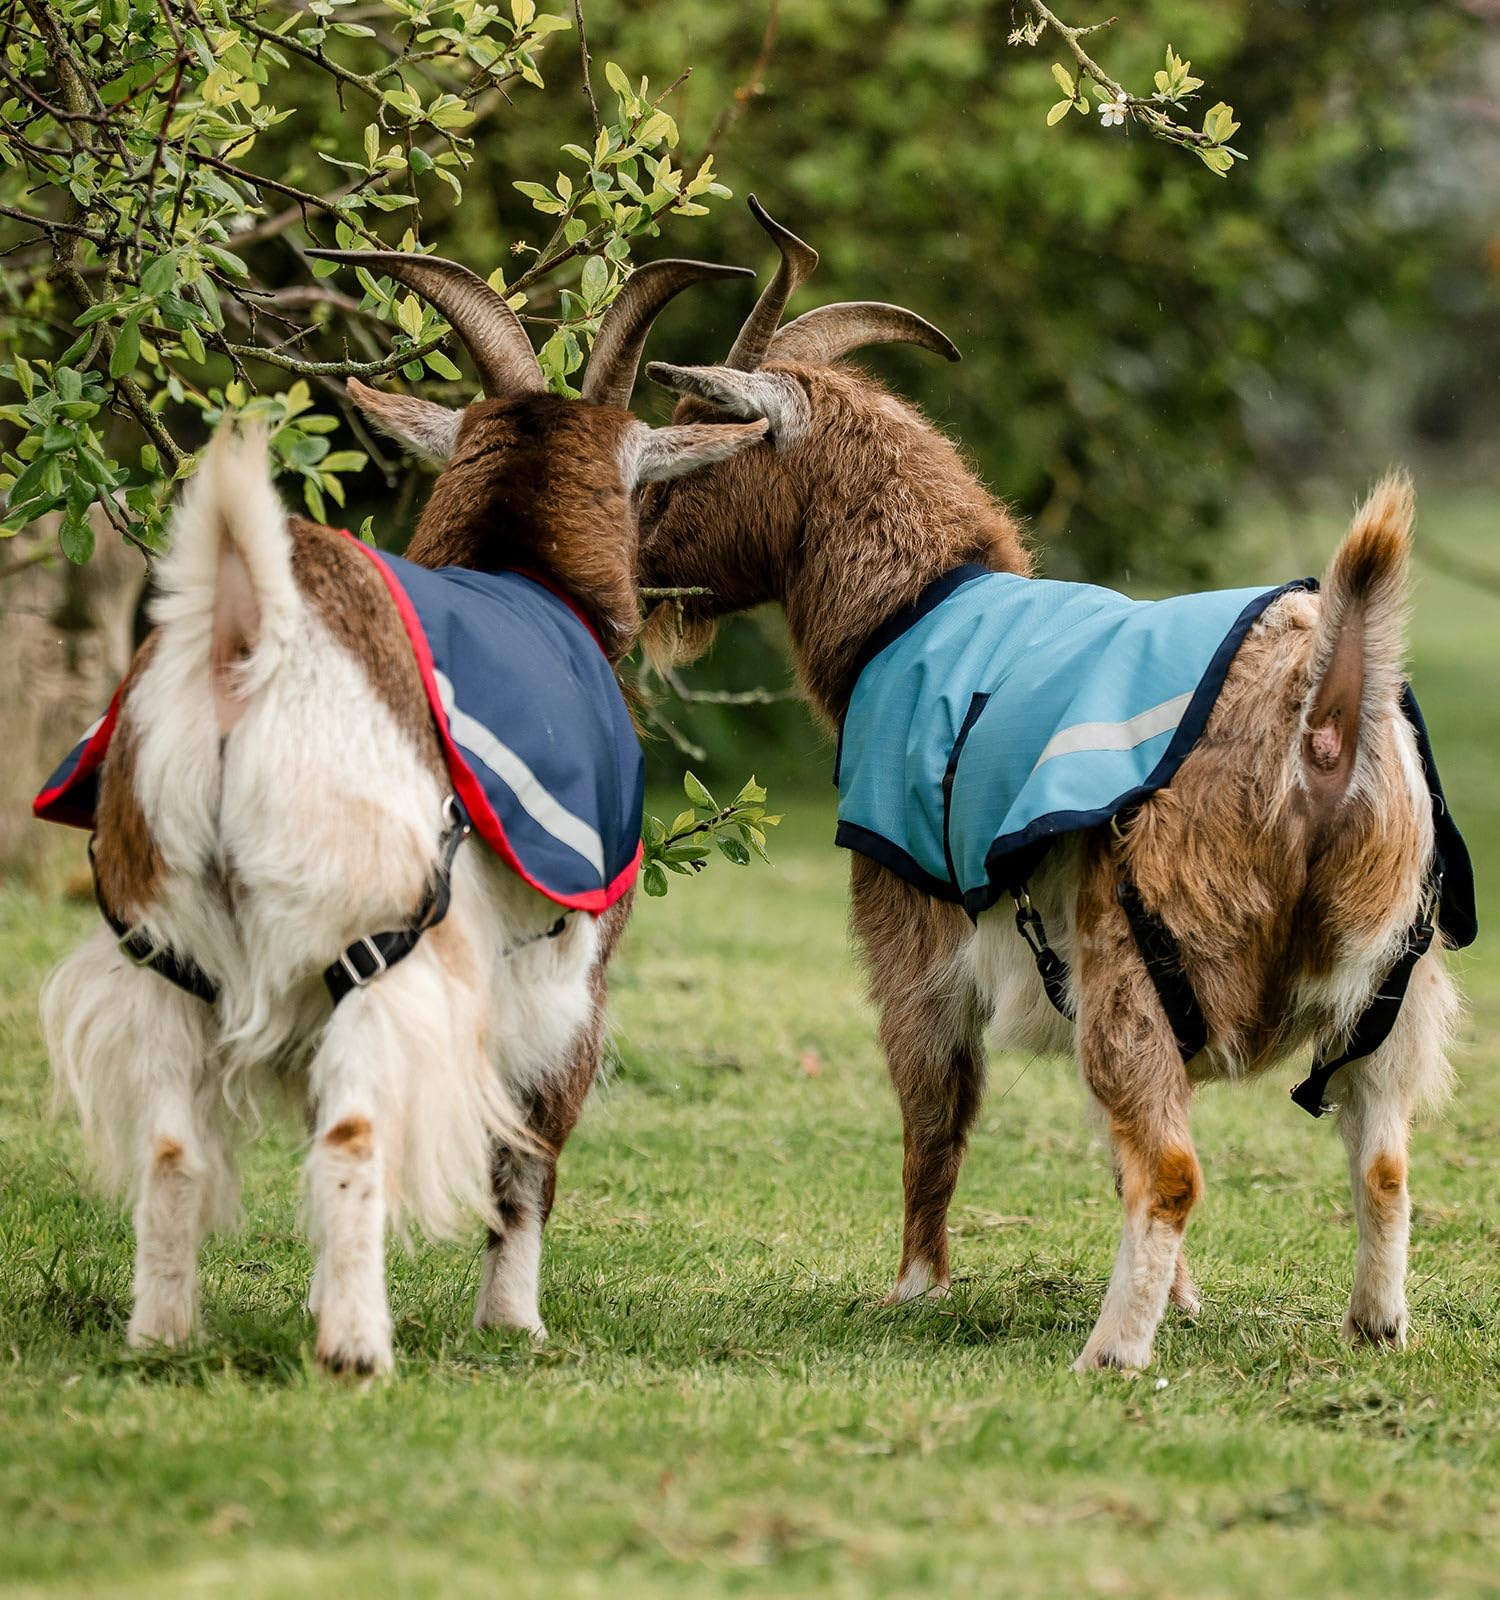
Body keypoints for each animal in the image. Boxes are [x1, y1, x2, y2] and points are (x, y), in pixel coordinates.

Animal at [35, 249, 768, 1375]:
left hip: (163, 940)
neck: (526, 573)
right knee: (355, 1132)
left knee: (171, 1141)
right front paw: (513, 1323)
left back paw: (163, 1338)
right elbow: (527, 1154)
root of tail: (252, 637)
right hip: (378, 938)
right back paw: (356, 1349)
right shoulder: (569, 977)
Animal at [636, 201, 1475, 1371]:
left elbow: (935, 1114)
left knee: (1173, 1171)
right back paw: (1374, 1326)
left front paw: (914, 1290)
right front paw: (1187, 1303)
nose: (634, 563)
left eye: (694, 445)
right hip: (1392, 975)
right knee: (1380, 1159)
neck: (916, 606)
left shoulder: (913, 932)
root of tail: (1323, 713)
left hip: (1143, 944)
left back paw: (1108, 1355)